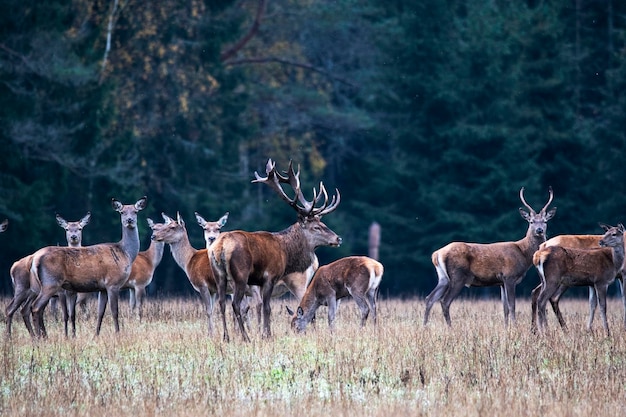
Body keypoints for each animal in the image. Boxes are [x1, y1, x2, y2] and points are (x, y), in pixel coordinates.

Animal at [29, 197, 147, 336]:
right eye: (122, 212)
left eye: (135, 211)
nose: (129, 220)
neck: (125, 253)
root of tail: (35, 258)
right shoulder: (113, 283)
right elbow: (114, 312)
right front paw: (118, 334)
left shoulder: (103, 288)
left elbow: (100, 313)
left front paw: (96, 335)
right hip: (51, 282)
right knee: (35, 307)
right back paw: (39, 337)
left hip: (45, 285)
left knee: (38, 308)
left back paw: (43, 336)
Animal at [210, 159, 338, 342]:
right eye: (316, 227)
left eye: (323, 223)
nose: (338, 238)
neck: (286, 252)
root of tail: (220, 246)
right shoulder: (269, 276)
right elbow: (267, 307)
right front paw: (267, 335)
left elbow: (263, 307)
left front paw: (264, 333)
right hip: (240, 275)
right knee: (235, 304)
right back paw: (246, 337)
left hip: (219, 275)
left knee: (221, 303)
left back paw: (226, 337)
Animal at [422, 185, 552, 324]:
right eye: (531, 222)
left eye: (545, 221)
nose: (539, 230)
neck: (523, 253)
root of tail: (437, 254)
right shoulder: (509, 276)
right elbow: (512, 305)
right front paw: (514, 326)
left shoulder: (501, 282)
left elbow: (505, 308)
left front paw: (506, 327)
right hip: (458, 275)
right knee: (444, 301)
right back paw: (449, 327)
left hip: (443, 278)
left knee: (430, 298)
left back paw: (425, 326)